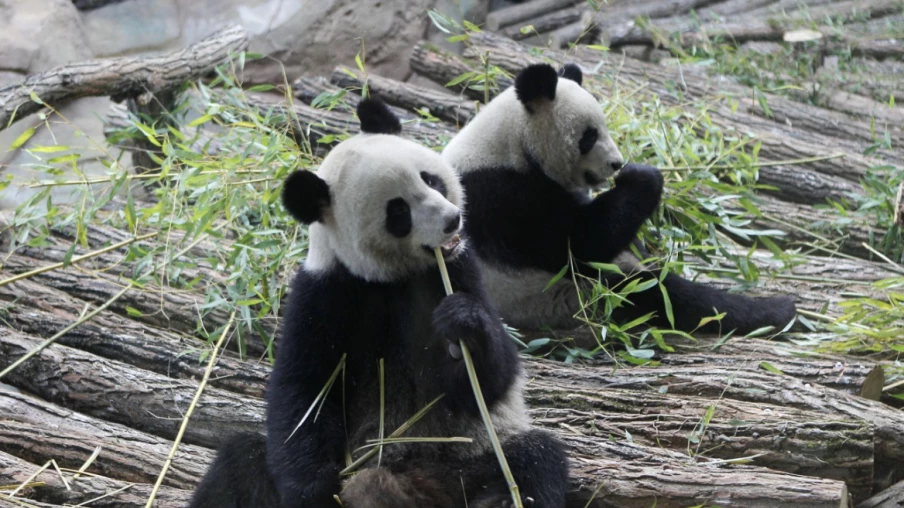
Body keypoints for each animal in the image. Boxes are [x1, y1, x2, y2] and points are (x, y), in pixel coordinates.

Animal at [188, 98, 568, 508]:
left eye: (430, 179)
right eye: (398, 211)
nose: (452, 220)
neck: (390, 277)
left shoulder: (459, 271)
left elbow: (488, 381)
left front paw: (463, 323)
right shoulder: (325, 294)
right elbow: (303, 392)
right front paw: (314, 491)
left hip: (472, 463)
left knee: (534, 459)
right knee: (239, 459)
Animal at [443, 63, 797, 336]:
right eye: (589, 137)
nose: (616, 164)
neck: (512, 143)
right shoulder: (505, 196)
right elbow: (578, 243)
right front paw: (643, 177)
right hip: (562, 297)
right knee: (655, 294)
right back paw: (775, 311)